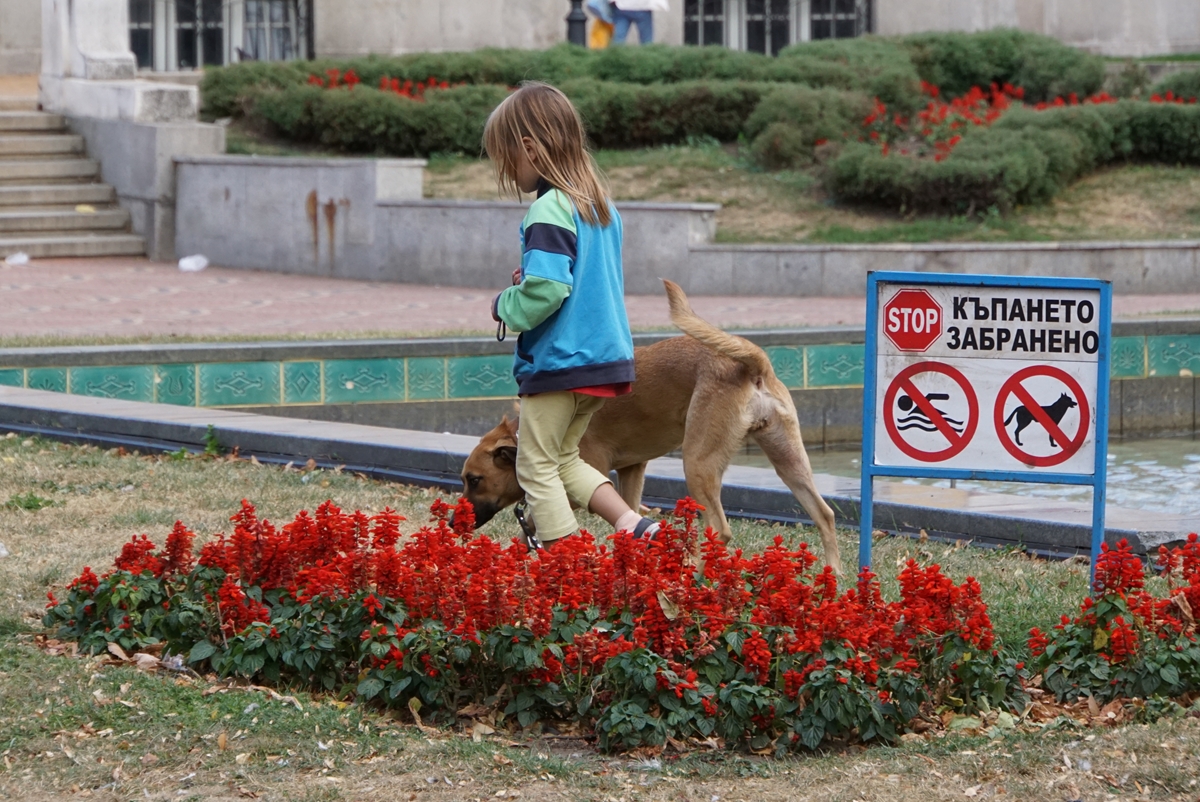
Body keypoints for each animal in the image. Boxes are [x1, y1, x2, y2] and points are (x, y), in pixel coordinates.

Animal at [458, 278, 844, 573]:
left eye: (474, 480)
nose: (452, 524)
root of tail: (750, 363)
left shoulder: (585, 475)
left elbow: (540, 521)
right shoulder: (632, 471)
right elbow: (627, 517)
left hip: (698, 463)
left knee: (719, 530)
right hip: (790, 461)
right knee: (825, 515)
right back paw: (833, 579)